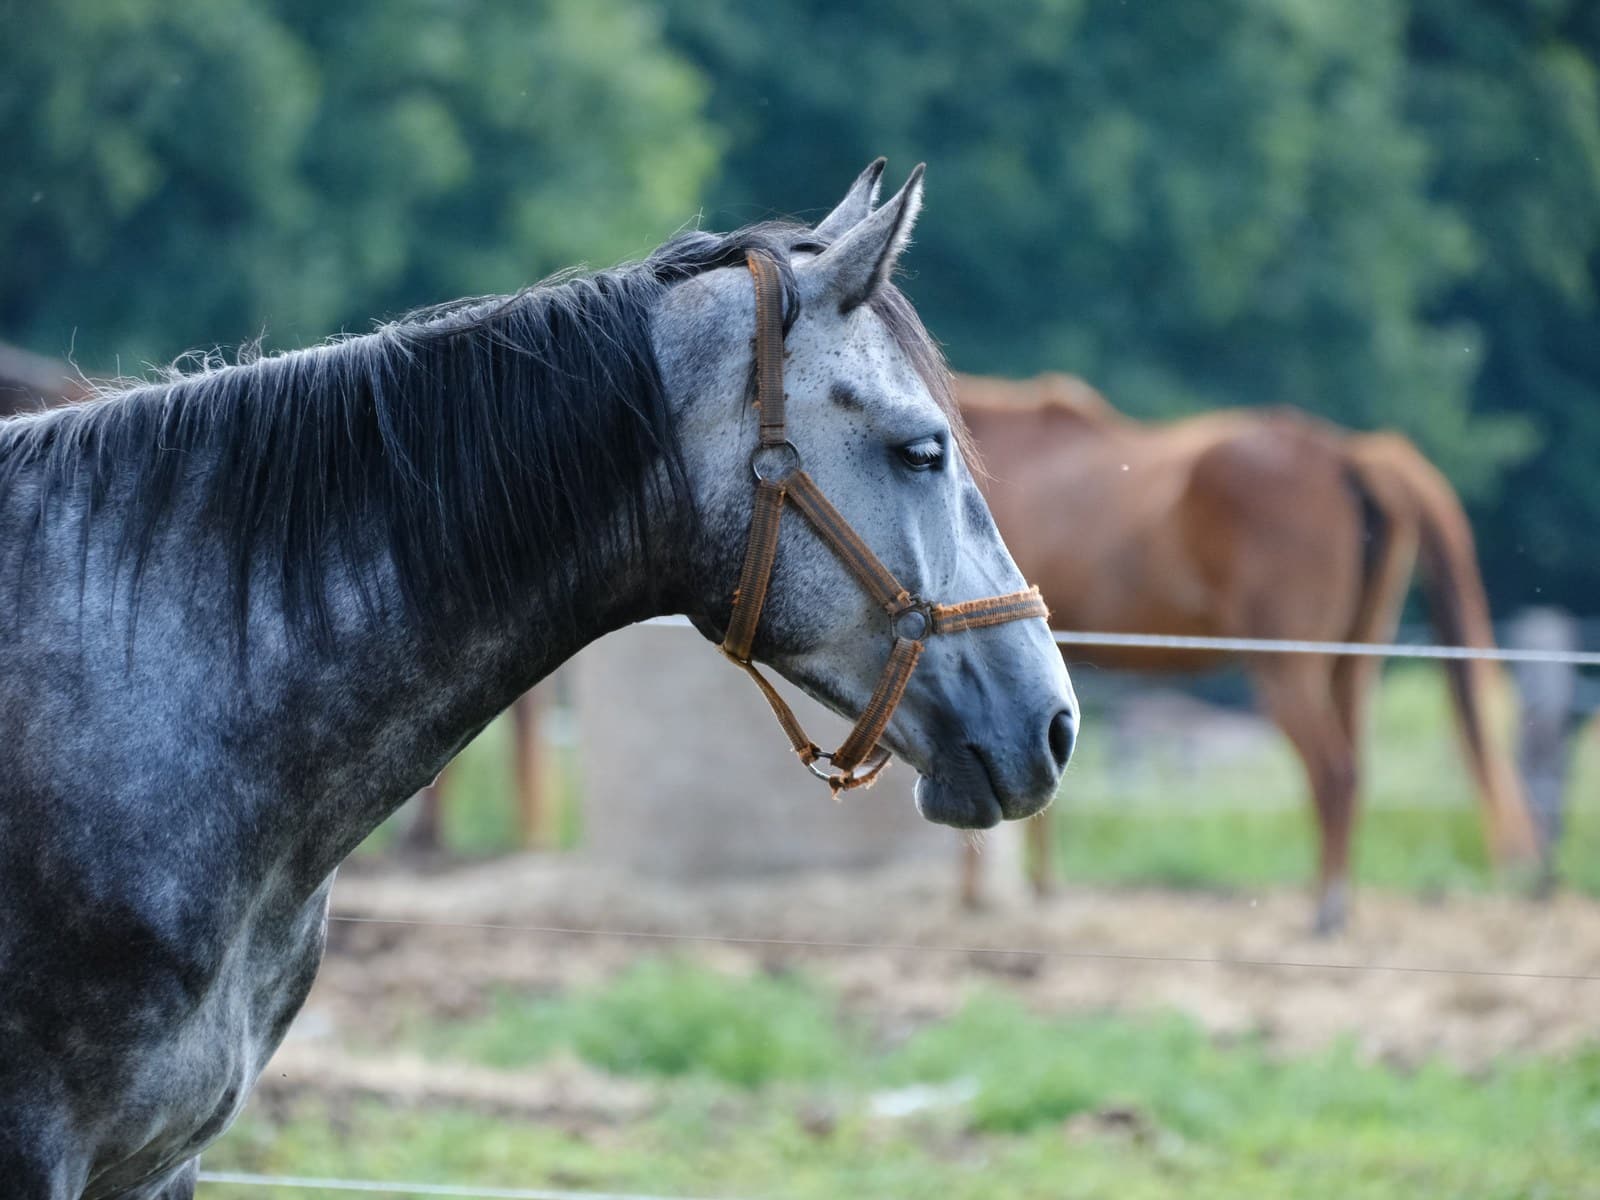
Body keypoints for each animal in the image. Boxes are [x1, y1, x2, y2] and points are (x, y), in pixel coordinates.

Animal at [957, 372, 1539, 933]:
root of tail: (1346, 454)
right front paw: (1040, 891)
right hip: (1351, 665)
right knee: (1353, 772)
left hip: (1287, 672)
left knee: (1334, 775)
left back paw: (1326, 910)